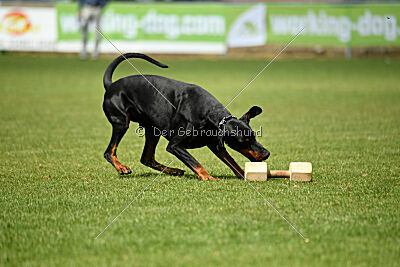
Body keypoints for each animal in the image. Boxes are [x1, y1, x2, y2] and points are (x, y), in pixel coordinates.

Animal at [101, 53, 270, 181]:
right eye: (245, 141)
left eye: (254, 136)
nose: (266, 153)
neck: (209, 115)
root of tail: (111, 85)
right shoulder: (175, 145)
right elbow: (194, 161)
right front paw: (208, 177)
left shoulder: (216, 144)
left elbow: (233, 162)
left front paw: (244, 174)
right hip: (121, 122)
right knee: (109, 151)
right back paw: (121, 167)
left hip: (152, 130)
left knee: (147, 158)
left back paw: (174, 170)